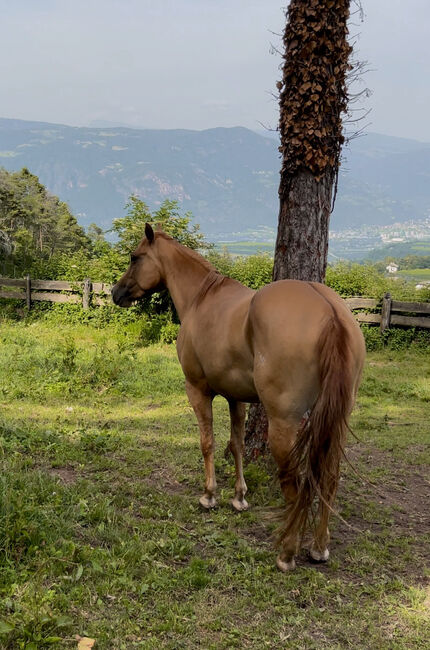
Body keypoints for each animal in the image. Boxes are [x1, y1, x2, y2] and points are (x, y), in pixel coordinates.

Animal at [112, 225, 364, 568]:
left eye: (135, 257)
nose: (116, 292)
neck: (201, 299)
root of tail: (331, 312)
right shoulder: (237, 398)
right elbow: (237, 444)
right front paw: (239, 497)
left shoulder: (197, 389)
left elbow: (208, 442)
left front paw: (209, 495)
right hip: (334, 423)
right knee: (329, 478)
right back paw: (319, 547)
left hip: (284, 424)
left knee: (295, 484)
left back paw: (287, 553)